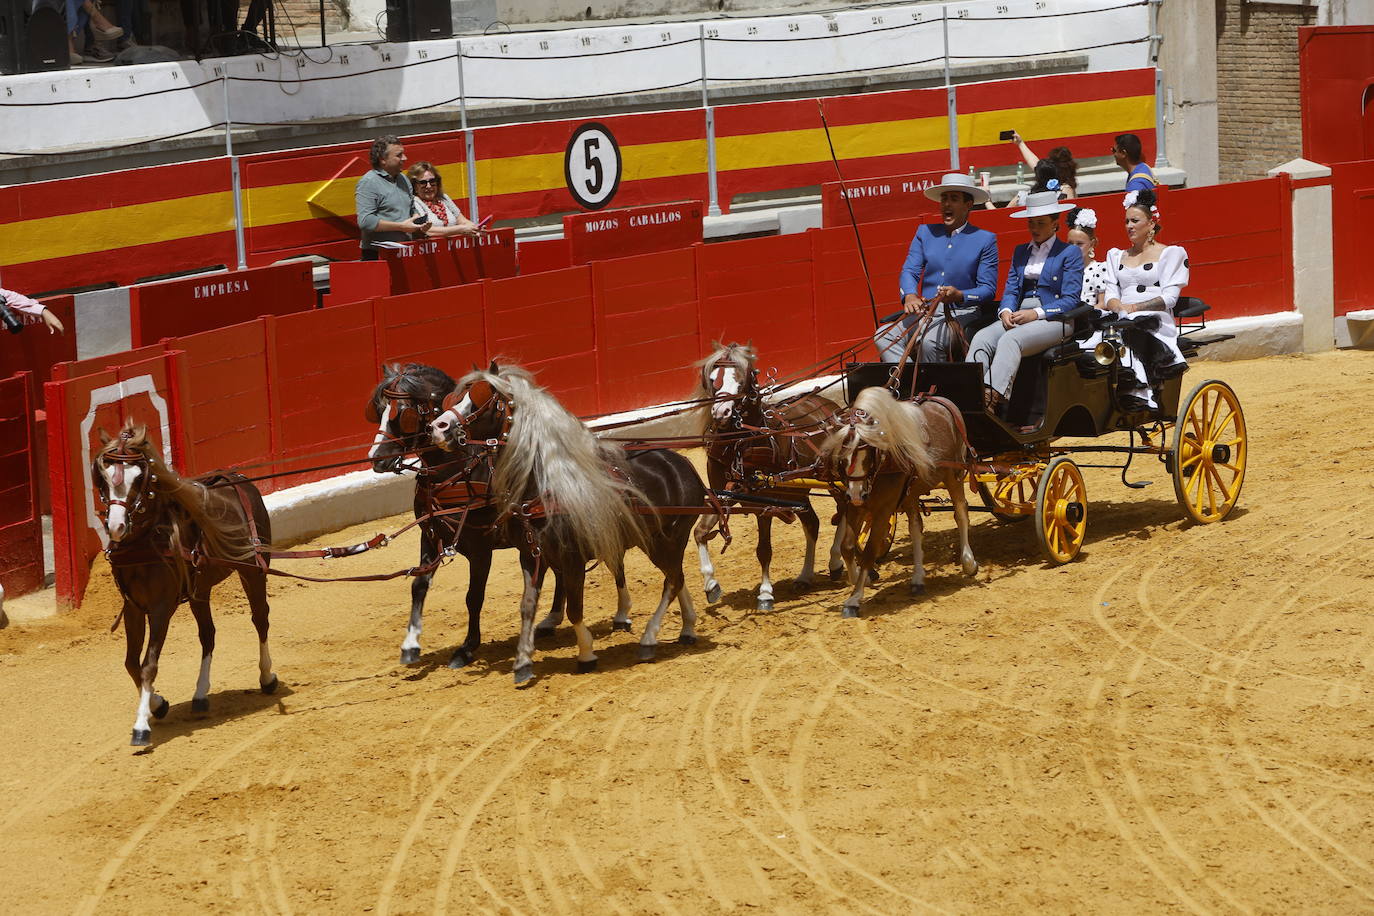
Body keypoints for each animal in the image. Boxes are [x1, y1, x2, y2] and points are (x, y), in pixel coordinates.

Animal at [92, 422, 277, 747]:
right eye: (103, 475)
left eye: (139, 478)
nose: (116, 527)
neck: (145, 543)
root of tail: (238, 479)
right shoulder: (133, 608)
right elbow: (131, 663)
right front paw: (158, 704)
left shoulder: (161, 609)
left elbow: (148, 665)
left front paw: (141, 725)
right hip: (199, 591)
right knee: (208, 635)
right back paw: (201, 695)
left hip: (253, 572)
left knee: (260, 619)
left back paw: (266, 678)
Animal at [687, 341, 846, 609]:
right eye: (713, 379)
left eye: (742, 379)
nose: (721, 412)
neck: (741, 445)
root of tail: (832, 409)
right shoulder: (724, 496)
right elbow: (699, 532)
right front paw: (711, 583)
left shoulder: (765, 506)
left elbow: (764, 549)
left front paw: (765, 593)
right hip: (797, 493)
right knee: (812, 524)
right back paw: (805, 577)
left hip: (835, 480)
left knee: (846, 511)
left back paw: (836, 561)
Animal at [813, 387, 978, 615]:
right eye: (842, 456)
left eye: (868, 453)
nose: (856, 495)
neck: (882, 465)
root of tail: (941, 400)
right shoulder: (855, 507)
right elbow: (847, 547)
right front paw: (859, 580)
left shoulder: (883, 509)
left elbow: (870, 551)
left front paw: (855, 597)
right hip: (911, 492)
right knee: (916, 527)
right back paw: (918, 579)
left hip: (953, 475)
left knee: (961, 513)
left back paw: (968, 561)